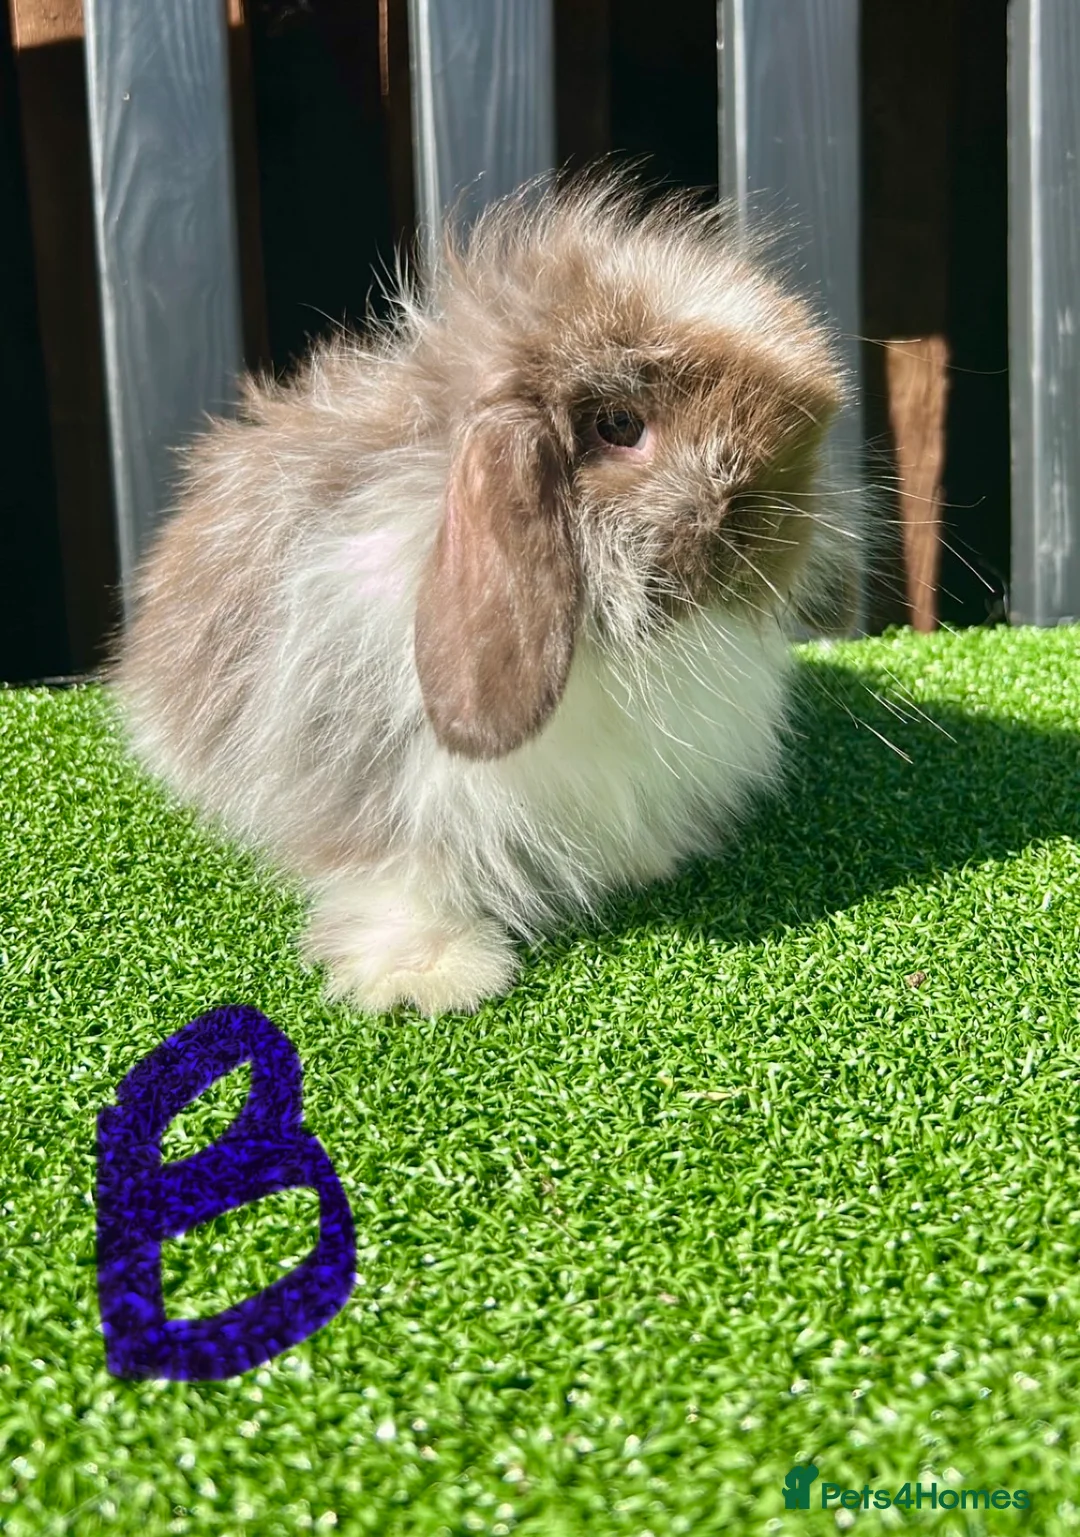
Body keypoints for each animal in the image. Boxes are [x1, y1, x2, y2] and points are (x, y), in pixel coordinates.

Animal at [111, 169, 866, 1017]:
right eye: (619, 424)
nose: (776, 520)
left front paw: (649, 862)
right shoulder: (374, 772)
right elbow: (400, 876)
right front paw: (432, 978)